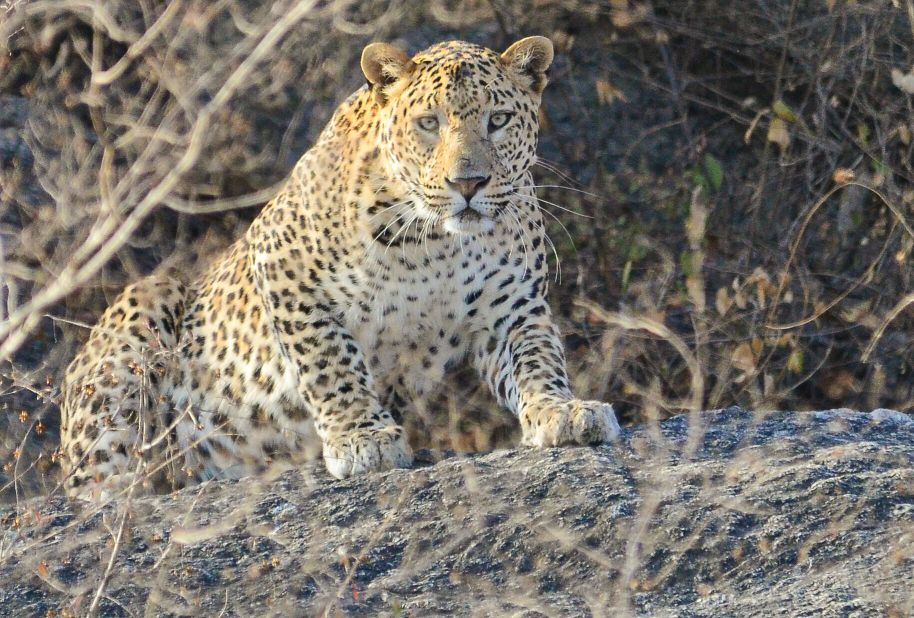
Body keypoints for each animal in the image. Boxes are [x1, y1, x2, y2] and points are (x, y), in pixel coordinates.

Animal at [59, 36, 621, 501]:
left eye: (498, 120)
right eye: (429, 123)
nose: (469, 183)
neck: (438, 246)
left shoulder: (513, 307)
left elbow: (537, 359)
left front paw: (562, 410)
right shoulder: (282, 267)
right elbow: (331, 361)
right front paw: (362, 436)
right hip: (142, 309)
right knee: (98, 479)